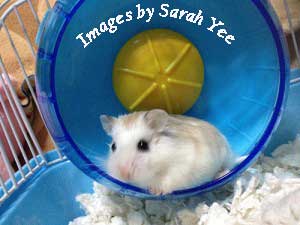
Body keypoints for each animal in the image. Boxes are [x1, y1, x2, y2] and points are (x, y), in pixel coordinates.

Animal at [101, 109, 239, 195]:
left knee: (227, 167)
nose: (124, 175)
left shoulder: (181, 168)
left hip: (224, 157)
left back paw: (222, 173)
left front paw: (155, 191)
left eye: (142, 145)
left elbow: (167, 182)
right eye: (113, 146)